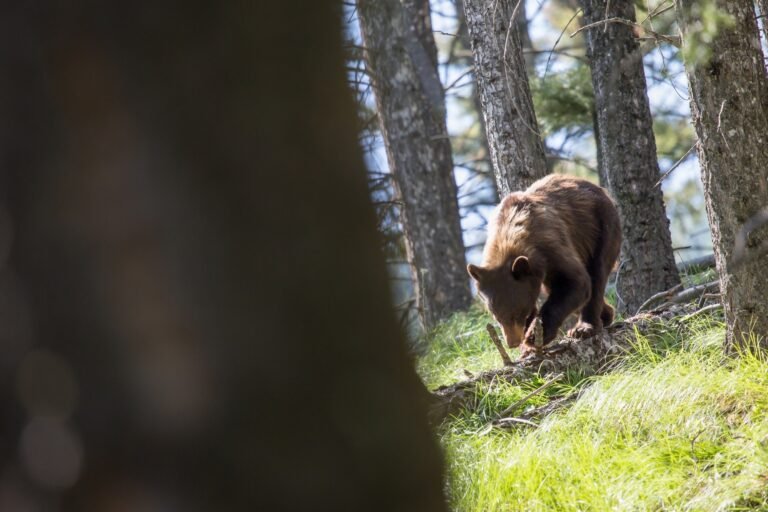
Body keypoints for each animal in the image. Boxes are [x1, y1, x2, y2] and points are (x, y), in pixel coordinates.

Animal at [467, 174, 621, 355]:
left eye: (517, 313)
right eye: (496, 316)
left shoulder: (550, 245)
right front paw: (527, 345)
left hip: (601, 226)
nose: (512, 343)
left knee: (597, 274)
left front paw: (534, 336)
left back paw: (585, 328)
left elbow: (576, 282)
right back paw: (606, 314)